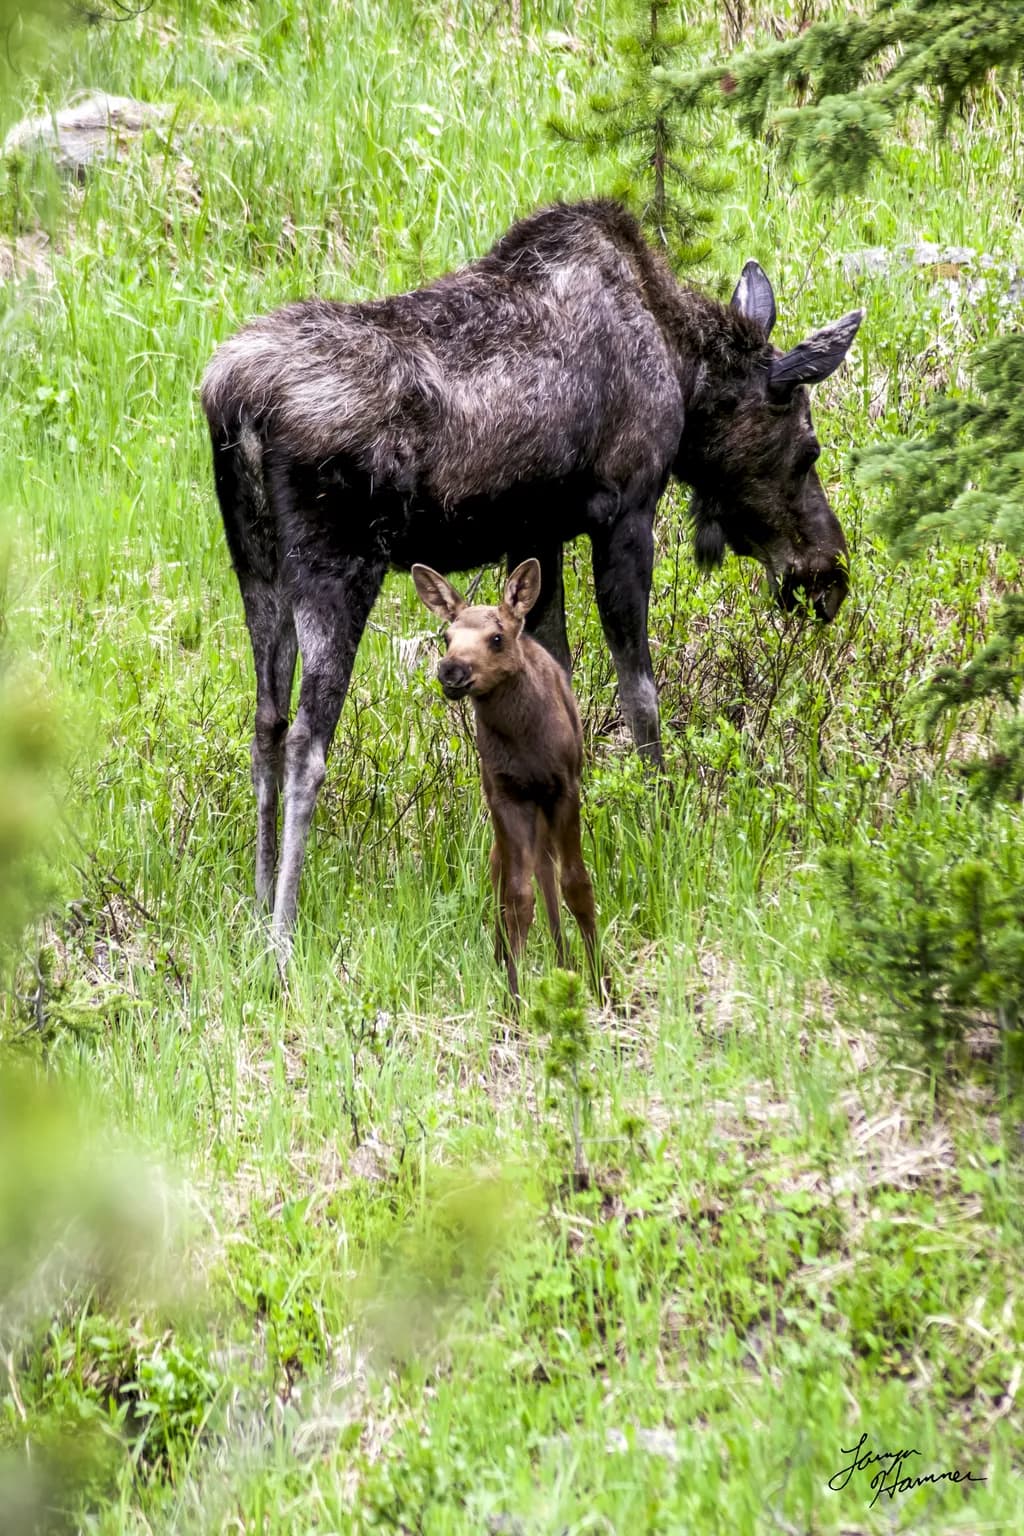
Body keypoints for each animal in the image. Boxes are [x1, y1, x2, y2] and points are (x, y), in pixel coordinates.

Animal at [411, 558, 605, 1008]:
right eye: (447, 637)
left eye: (496, 638)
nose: (451, 669)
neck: (527, 742)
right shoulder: (505, 795)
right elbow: (517, 898)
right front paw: (513, 1005)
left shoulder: (565, 788)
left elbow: (578, 886)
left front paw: (606, 990)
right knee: (509, 874)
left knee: (550, 875)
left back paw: (567, 964)